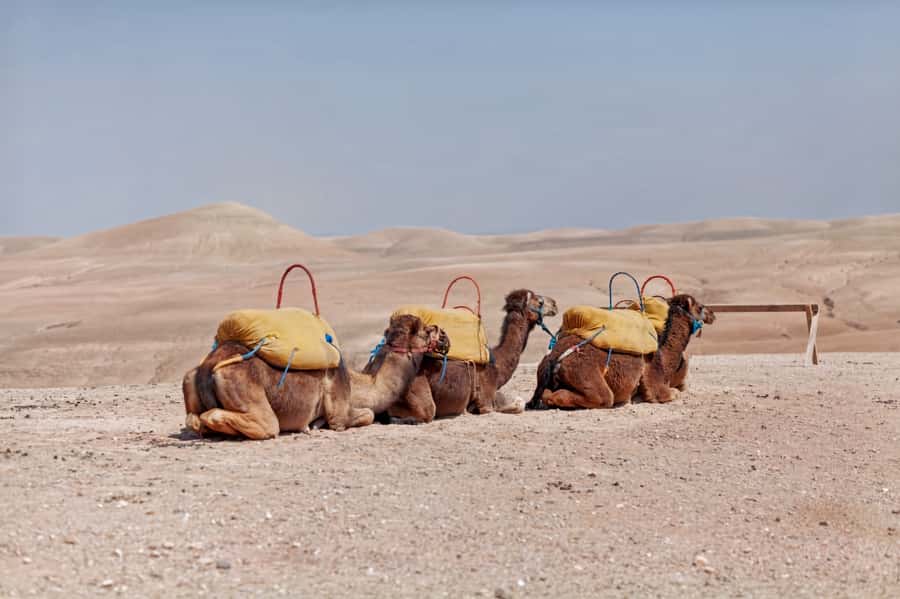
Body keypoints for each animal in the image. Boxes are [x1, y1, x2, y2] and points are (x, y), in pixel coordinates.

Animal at [182, 314, 449, 439]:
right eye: (426, 331)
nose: (444, 336)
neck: (360, 385)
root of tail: (209, 366)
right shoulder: (339, 413)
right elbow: (367, 414)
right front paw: (315, 424)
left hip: (188, 378)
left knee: (194, 419)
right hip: (246, 393)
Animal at [528, 294, 715, 410]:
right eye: (700, 307)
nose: (712, 314)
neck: (664, 355)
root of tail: (555, 359)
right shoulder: (655, 382)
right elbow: (671, 393)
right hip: (584, 373)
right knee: (599, 397)